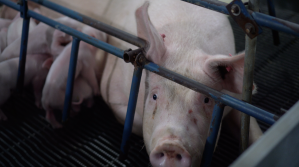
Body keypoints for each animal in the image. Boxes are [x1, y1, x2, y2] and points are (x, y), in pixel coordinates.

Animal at [100, 0, 262, 166]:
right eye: (154, 96)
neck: (186, 45)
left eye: (206, 99)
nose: (171, 146)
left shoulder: (237, 100)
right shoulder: (113, 92)